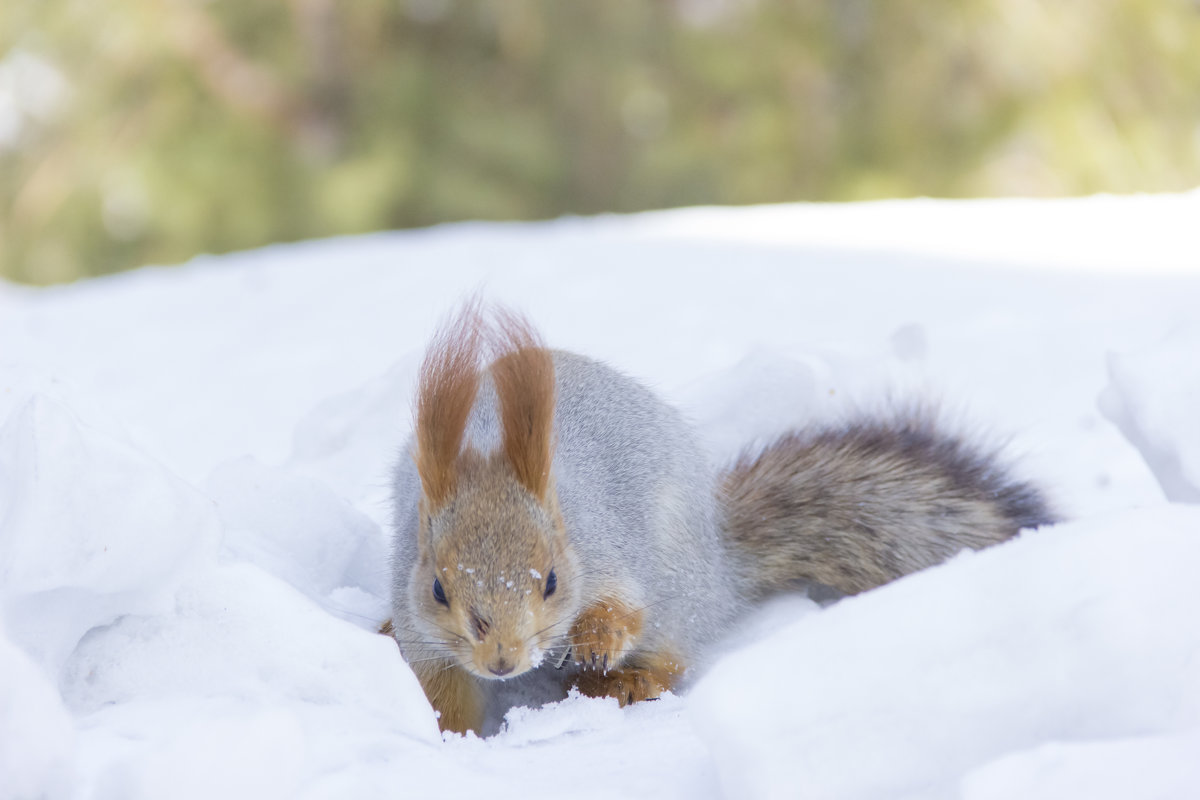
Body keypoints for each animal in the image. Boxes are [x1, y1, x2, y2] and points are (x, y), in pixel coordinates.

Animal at [388, 303, 1056, 734]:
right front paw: (450, 737)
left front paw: (598, 641)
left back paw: (625, 681)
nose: (502, 660)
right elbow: (439, 687)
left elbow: (622, 606)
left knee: (673, 652)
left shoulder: (610, 548)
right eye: (438, 588)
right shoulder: (423, 625)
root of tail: (720, 564)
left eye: (551, 580)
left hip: (680, 591)